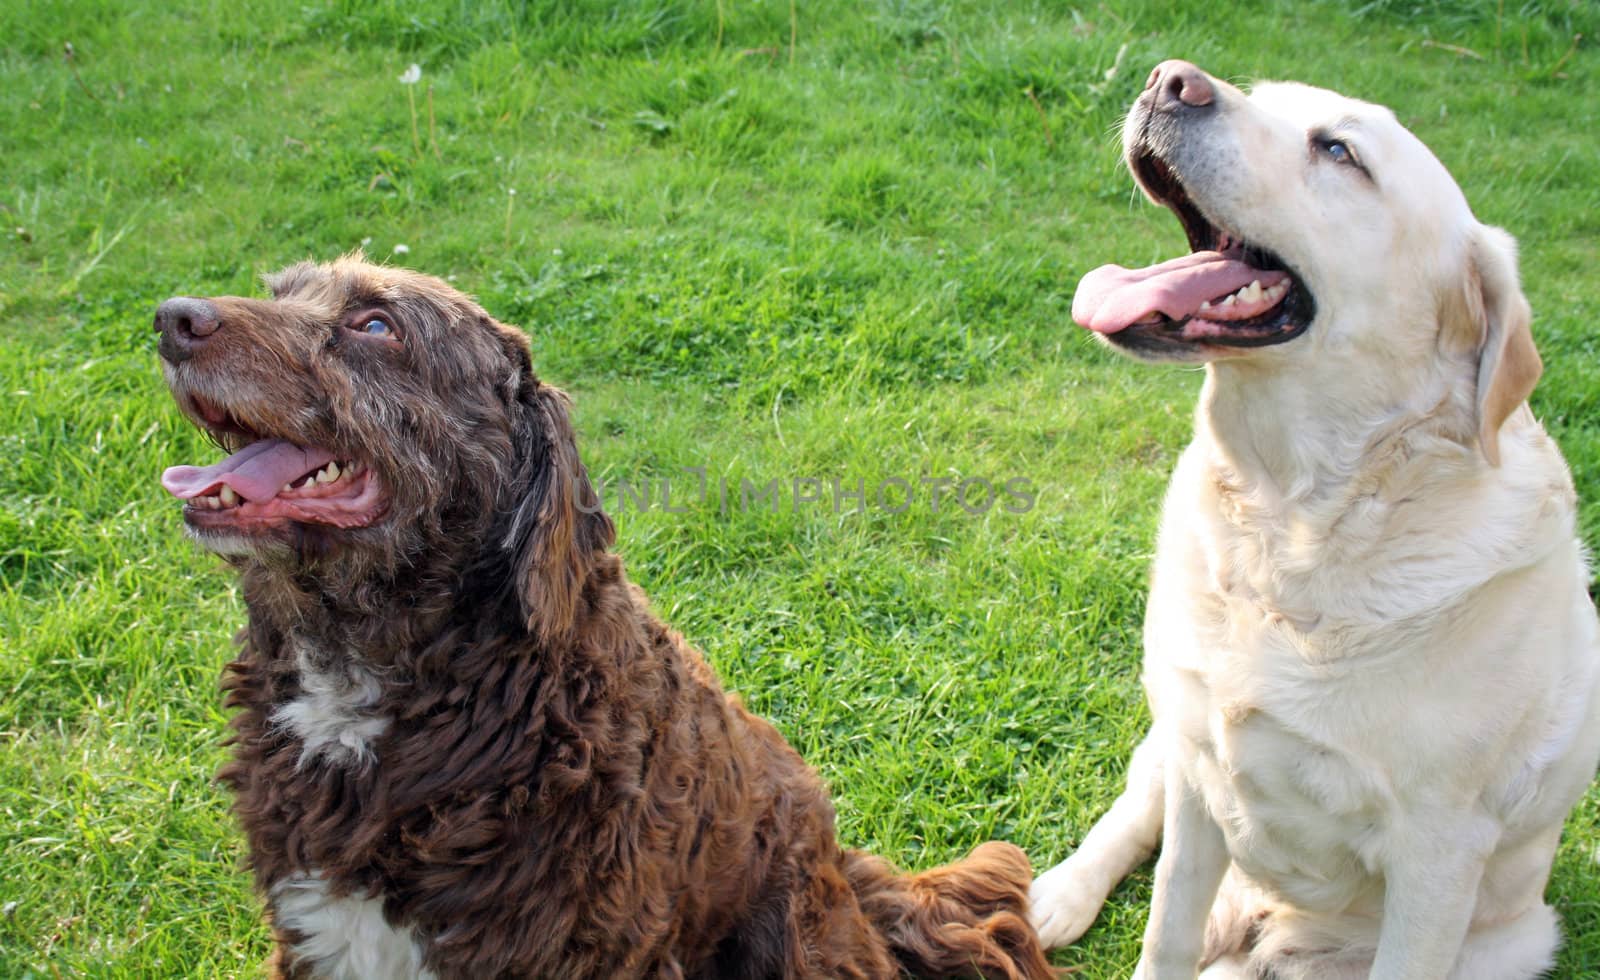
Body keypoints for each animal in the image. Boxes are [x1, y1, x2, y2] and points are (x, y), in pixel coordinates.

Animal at [1024, 63, 1600, 980]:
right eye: (1262, 95)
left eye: (1338, 151)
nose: (1170, 80)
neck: (1286, 520)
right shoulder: (1200, 766)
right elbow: (1165, 927)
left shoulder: (1438, 855)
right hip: (1169, 733)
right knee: (1133, 810)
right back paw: (1055, 896)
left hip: (1511, 941)